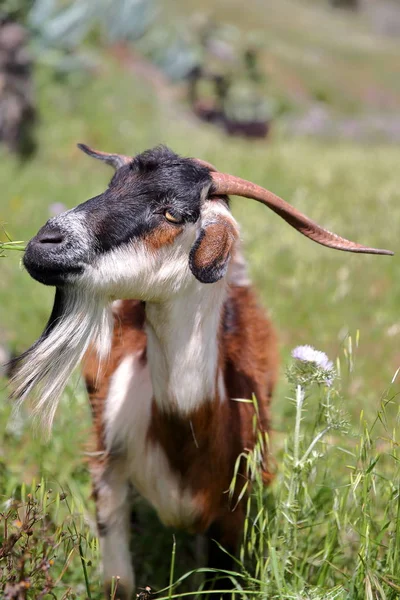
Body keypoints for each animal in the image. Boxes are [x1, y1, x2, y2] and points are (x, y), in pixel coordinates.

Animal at [10, 145, 392, 600]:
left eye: (174, 213)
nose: (44, 243)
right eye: (112, 186)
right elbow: (119, 582)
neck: (185, 429)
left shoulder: (234, 510)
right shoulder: (108, 473)